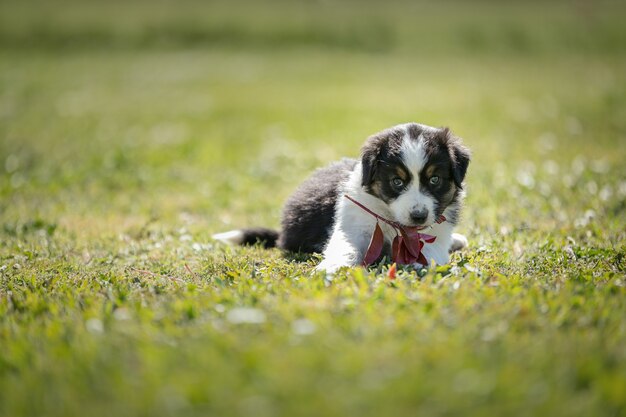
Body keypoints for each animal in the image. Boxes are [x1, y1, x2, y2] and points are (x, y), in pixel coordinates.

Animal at [211, 122, 468, 272]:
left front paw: (422, 264)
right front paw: (332, 266)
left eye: (434, 180)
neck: (394, 223)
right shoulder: (354, 223)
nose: (419, 216)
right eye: (397, 182)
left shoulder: (436, 228)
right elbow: (345, 246)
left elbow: (431, 250)